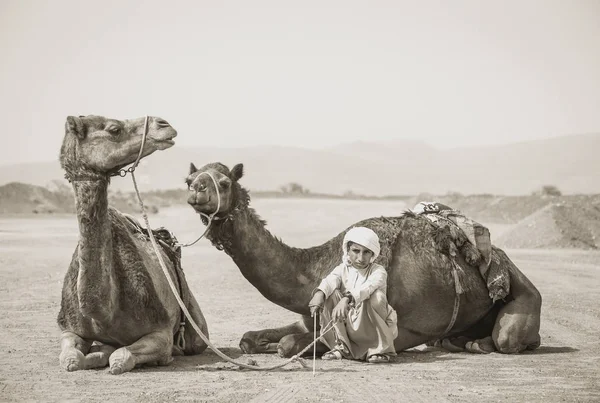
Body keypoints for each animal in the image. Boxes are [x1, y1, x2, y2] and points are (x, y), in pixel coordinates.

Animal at [58, 114, 209, 376]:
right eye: (114, 129)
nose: (164, 124)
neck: (104, 312)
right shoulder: (70, 329)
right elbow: (71, 359)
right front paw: (91, 356)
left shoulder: (161, 332)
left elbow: (120, 358)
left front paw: (162, 358)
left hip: (195, 325)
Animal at [185, 163, 540, 358]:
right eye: (190, 179)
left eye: (224, 182)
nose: (196, 190)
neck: (315, 267)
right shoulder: (306, 317)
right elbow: (250, 339)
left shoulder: (397, 332)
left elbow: (288, 344)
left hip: (523, 298)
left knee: (508, 339)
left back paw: (477, 344)